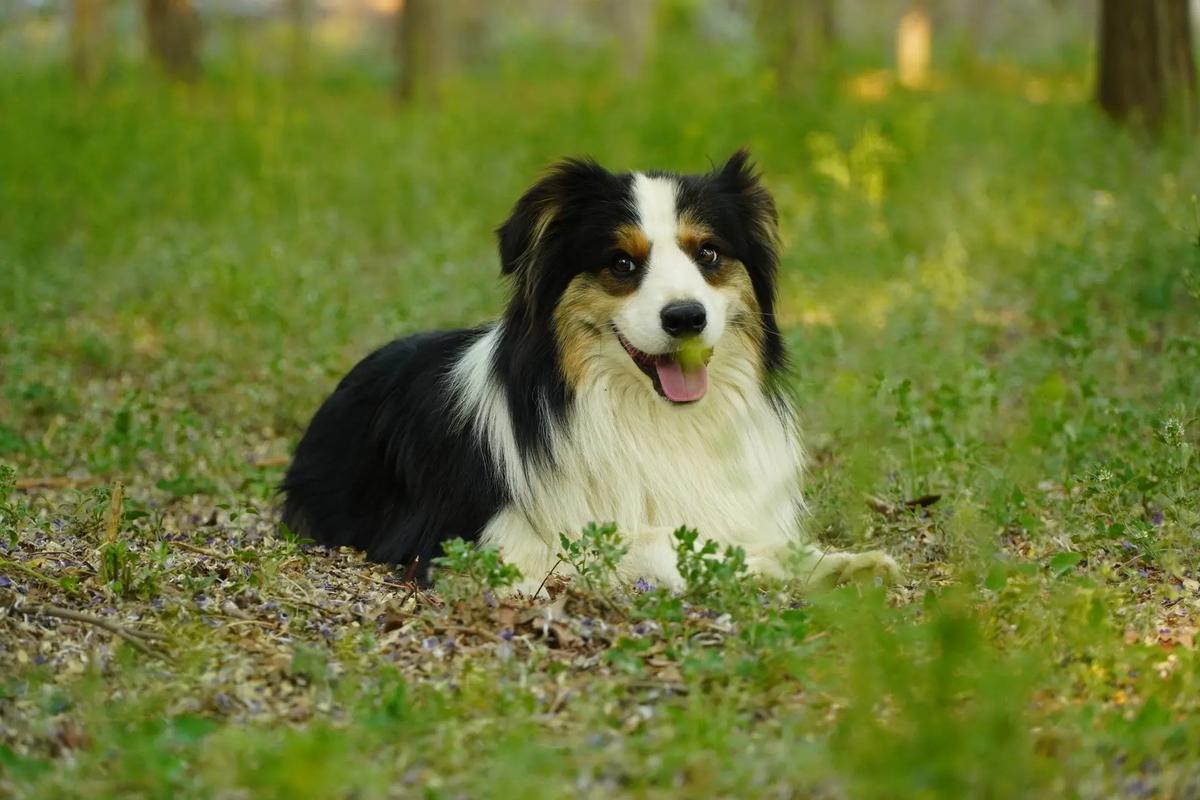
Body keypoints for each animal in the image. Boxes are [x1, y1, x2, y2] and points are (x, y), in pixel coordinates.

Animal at [283, 151, 902, 594]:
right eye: (621, 263)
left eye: (708, 254)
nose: (686, 317)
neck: (652, 415)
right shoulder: (484, 544)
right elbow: (654, 542)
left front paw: (837, 563)